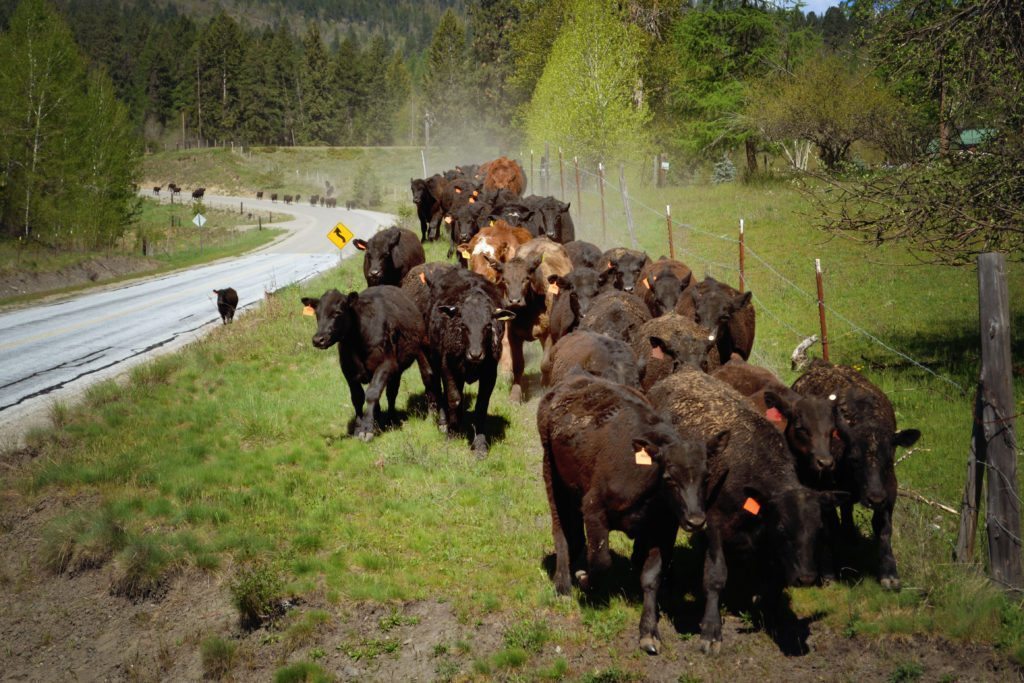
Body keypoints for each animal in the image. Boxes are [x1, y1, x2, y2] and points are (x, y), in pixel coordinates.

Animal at [300, 286, 438, 441]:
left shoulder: (385, 364)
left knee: (422, 378)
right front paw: (359, 427)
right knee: (391, 392)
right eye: (317, 314)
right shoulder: (348, 372)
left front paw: (367, 429)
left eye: (337, 312)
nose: (318, 339)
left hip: (418, 350)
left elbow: (372, 393)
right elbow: (357, 398)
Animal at [427, 268, 515, 456]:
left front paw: (480, 443)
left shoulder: (490, 373)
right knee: (438, 390)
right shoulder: (447, 367)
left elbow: (481, 405)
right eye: (463, 325)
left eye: (488, 325)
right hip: (434, 360)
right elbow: (453, 398)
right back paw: (445, 422)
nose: (475, 354)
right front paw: (452, 433)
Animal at [539, 372, 725, 654]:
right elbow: (601, 561)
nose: (695, 520)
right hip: (552, 474)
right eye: (669, 478)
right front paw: (584, 579)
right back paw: (563, 585)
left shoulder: (663, 529)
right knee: (561, 531)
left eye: (706, 477)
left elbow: (651, 577)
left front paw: (649, 631)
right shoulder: (593, 508)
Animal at [648, 367, 848, 655]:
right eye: (782, 527)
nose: (807, 577)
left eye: (819, 528)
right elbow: (716, 576)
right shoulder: (714, 523)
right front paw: (711, 631)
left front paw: (773, 617)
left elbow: (774, 581)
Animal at [791, 360, 920, 589]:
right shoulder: (825, 491)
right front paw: (828, 574)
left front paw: (889, 573)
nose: (874, 498)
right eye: (854, 459)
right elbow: (827, 529)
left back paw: (850, 532)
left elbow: (884, 529)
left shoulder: (890, 490)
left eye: (889, 460)